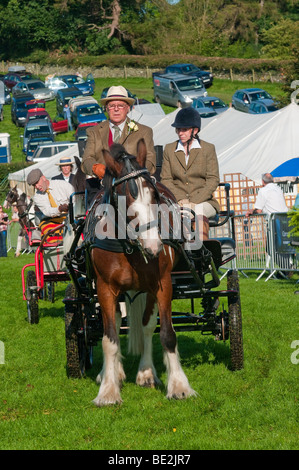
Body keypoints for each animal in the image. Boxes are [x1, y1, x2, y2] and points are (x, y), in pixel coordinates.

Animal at [84, 140, 197, 408]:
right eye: (125, 199)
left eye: (155, 196)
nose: (154, 247)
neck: (129, 246)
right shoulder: (104, 288)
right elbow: (109, 339)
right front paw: (108, 391)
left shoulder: (162, 284)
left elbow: (166, 333)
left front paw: (178, 386)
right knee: (113, 323)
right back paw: (112, 373)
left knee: (147, 326)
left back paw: (146, 373)